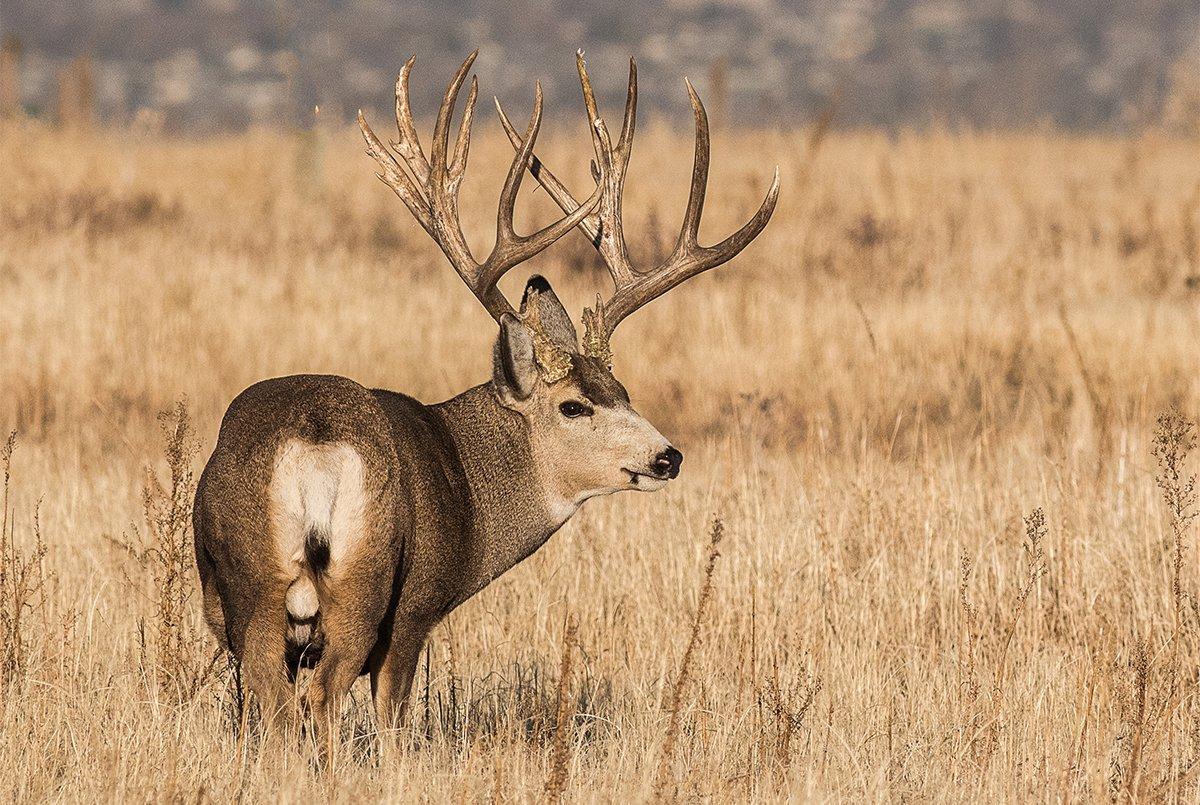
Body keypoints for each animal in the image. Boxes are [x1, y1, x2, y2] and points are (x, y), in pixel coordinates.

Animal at [194, 51, 777, 743]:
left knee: (273, 703)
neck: (469, 488)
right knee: (322, 700)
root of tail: (313, 441)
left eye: (624, 390)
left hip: (246, 587)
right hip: (367, 585)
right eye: (574, 405)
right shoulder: (417, 607)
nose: (668, 457)